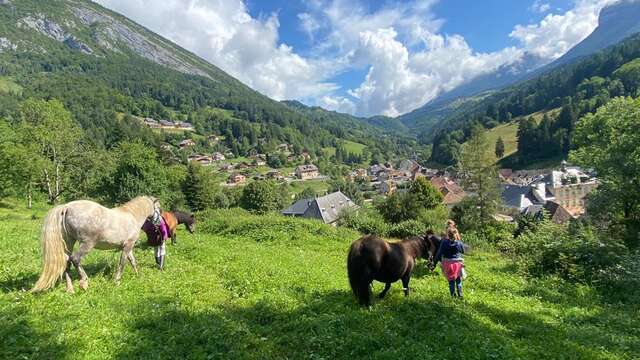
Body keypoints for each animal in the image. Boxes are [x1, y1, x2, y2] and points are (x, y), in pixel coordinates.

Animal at [31, 197, 161, 292]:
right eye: (159, 209)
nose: (159, 222)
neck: (132, 215)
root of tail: (66, 207)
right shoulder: (128, 246)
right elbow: (122, 264)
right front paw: (117, 281)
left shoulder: (127, 247)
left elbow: (133, 262)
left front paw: (139, 276)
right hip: (87, 244)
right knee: (75, 259)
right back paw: (84, 282)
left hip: (69, 243)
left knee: (67, 261)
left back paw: (70, 289)